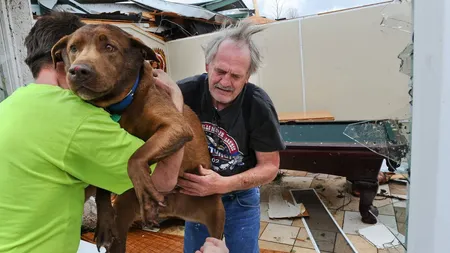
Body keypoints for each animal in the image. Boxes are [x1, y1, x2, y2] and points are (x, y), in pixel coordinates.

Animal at [50, 24, 225, 253]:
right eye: (73, 48)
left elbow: (136, 156)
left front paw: (147, 196)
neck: (119, 106)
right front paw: (104, 220)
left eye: (109, 47)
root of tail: (173, 208)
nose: (78, 70)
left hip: (215, 212)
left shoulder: (176, 126)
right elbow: (103, 187)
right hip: (123, 214)